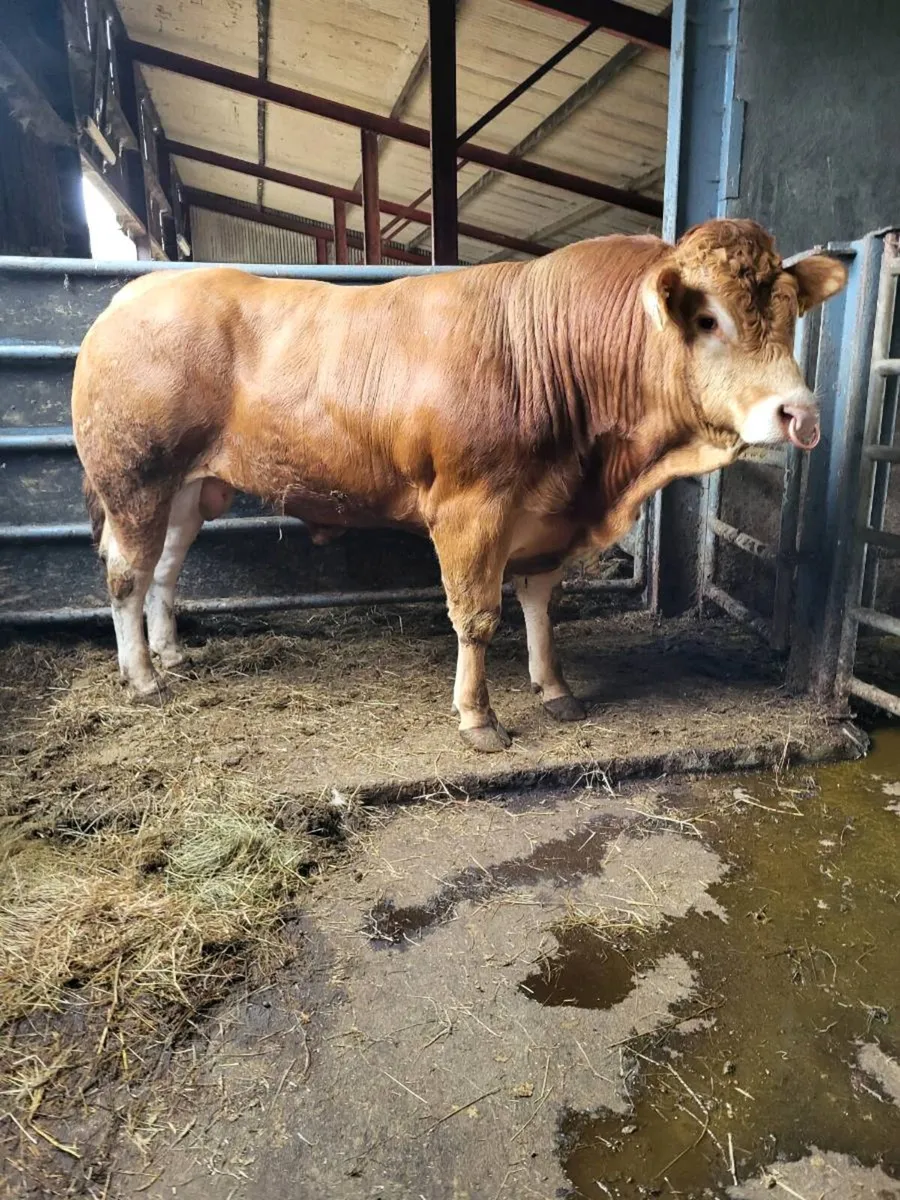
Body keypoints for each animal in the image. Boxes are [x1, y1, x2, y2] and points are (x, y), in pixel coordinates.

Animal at [72, 219, 847, 752]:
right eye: (709, 317)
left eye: (790, 315)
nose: (800, 414)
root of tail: (136, 292)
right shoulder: (471, 510)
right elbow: (476, 616)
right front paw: (480, 719)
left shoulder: (547, 514)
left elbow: (538, 603)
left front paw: (555, 688)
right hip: (134, 477)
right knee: (126, 574)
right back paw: (143, 678)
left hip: (189, 488)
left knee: (166, 570)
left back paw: (171, 652)